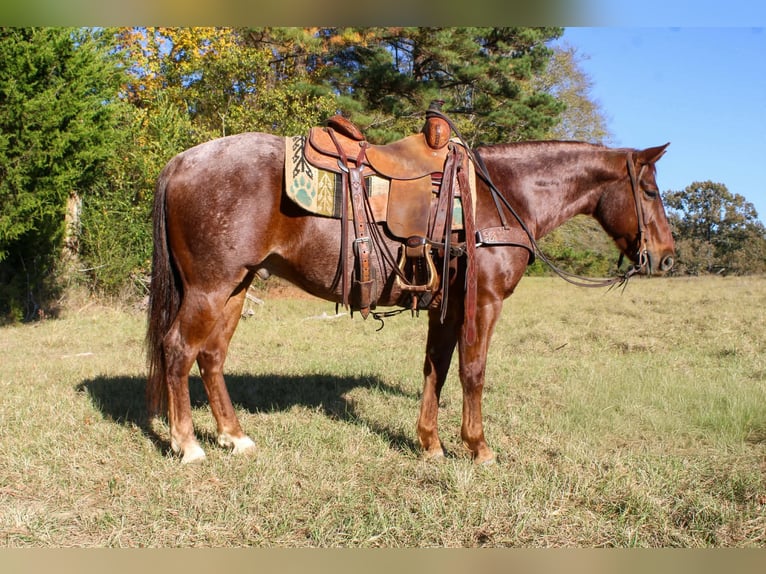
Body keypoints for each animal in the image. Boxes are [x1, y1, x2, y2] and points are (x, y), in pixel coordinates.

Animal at [146, 132, 675, 464]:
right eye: (649, 191)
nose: (667, 258)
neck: (501, 198)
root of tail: (181, 162)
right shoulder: (482, 303)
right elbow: (472, 372)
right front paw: (479, 448)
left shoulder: (448, 308)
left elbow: (435, 369)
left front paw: (430, 444)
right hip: (211, 287)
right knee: (179, 349)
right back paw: (188, 445)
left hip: (236, 287)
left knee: (212, 356)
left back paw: (234, 438)